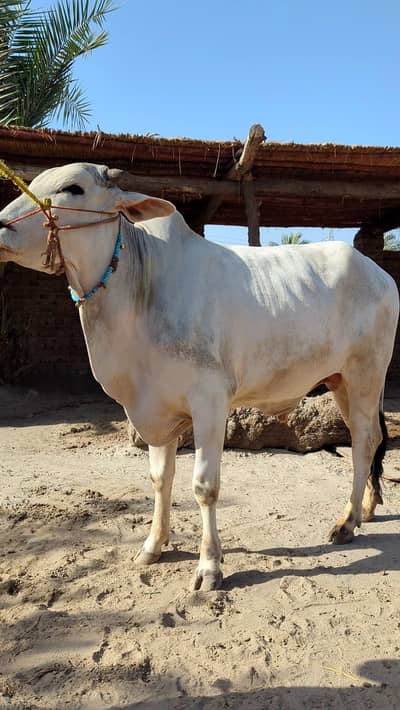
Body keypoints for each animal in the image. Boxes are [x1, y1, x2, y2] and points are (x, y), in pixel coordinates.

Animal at [0, 162, 398, 591]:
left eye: (73, 188)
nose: (1, 227)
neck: (140, 289)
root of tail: (380, 273)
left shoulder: (209, 402)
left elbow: (204, 486)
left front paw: (209, 566)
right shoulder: (154, 408)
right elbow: (161, 477)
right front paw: (153, 546)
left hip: (365, 375)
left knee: (363, 442)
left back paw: (347, 522)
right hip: (341, 380)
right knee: (369, 439)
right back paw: (364, 509)